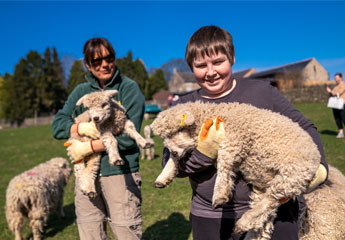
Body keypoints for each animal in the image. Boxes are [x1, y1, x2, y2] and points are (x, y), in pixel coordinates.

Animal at [150, 101, 320, 240]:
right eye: (166, 136)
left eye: (179, 130)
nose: (174, 151)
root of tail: (316, 155)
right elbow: (172, 160)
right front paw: (163, 178)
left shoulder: (235, 139)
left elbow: (223, 162)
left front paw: (220, 194)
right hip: (264, 185)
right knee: (268, 211)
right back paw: (250, 232)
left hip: (291, 175)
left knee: (269, 201)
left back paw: (243, 222)